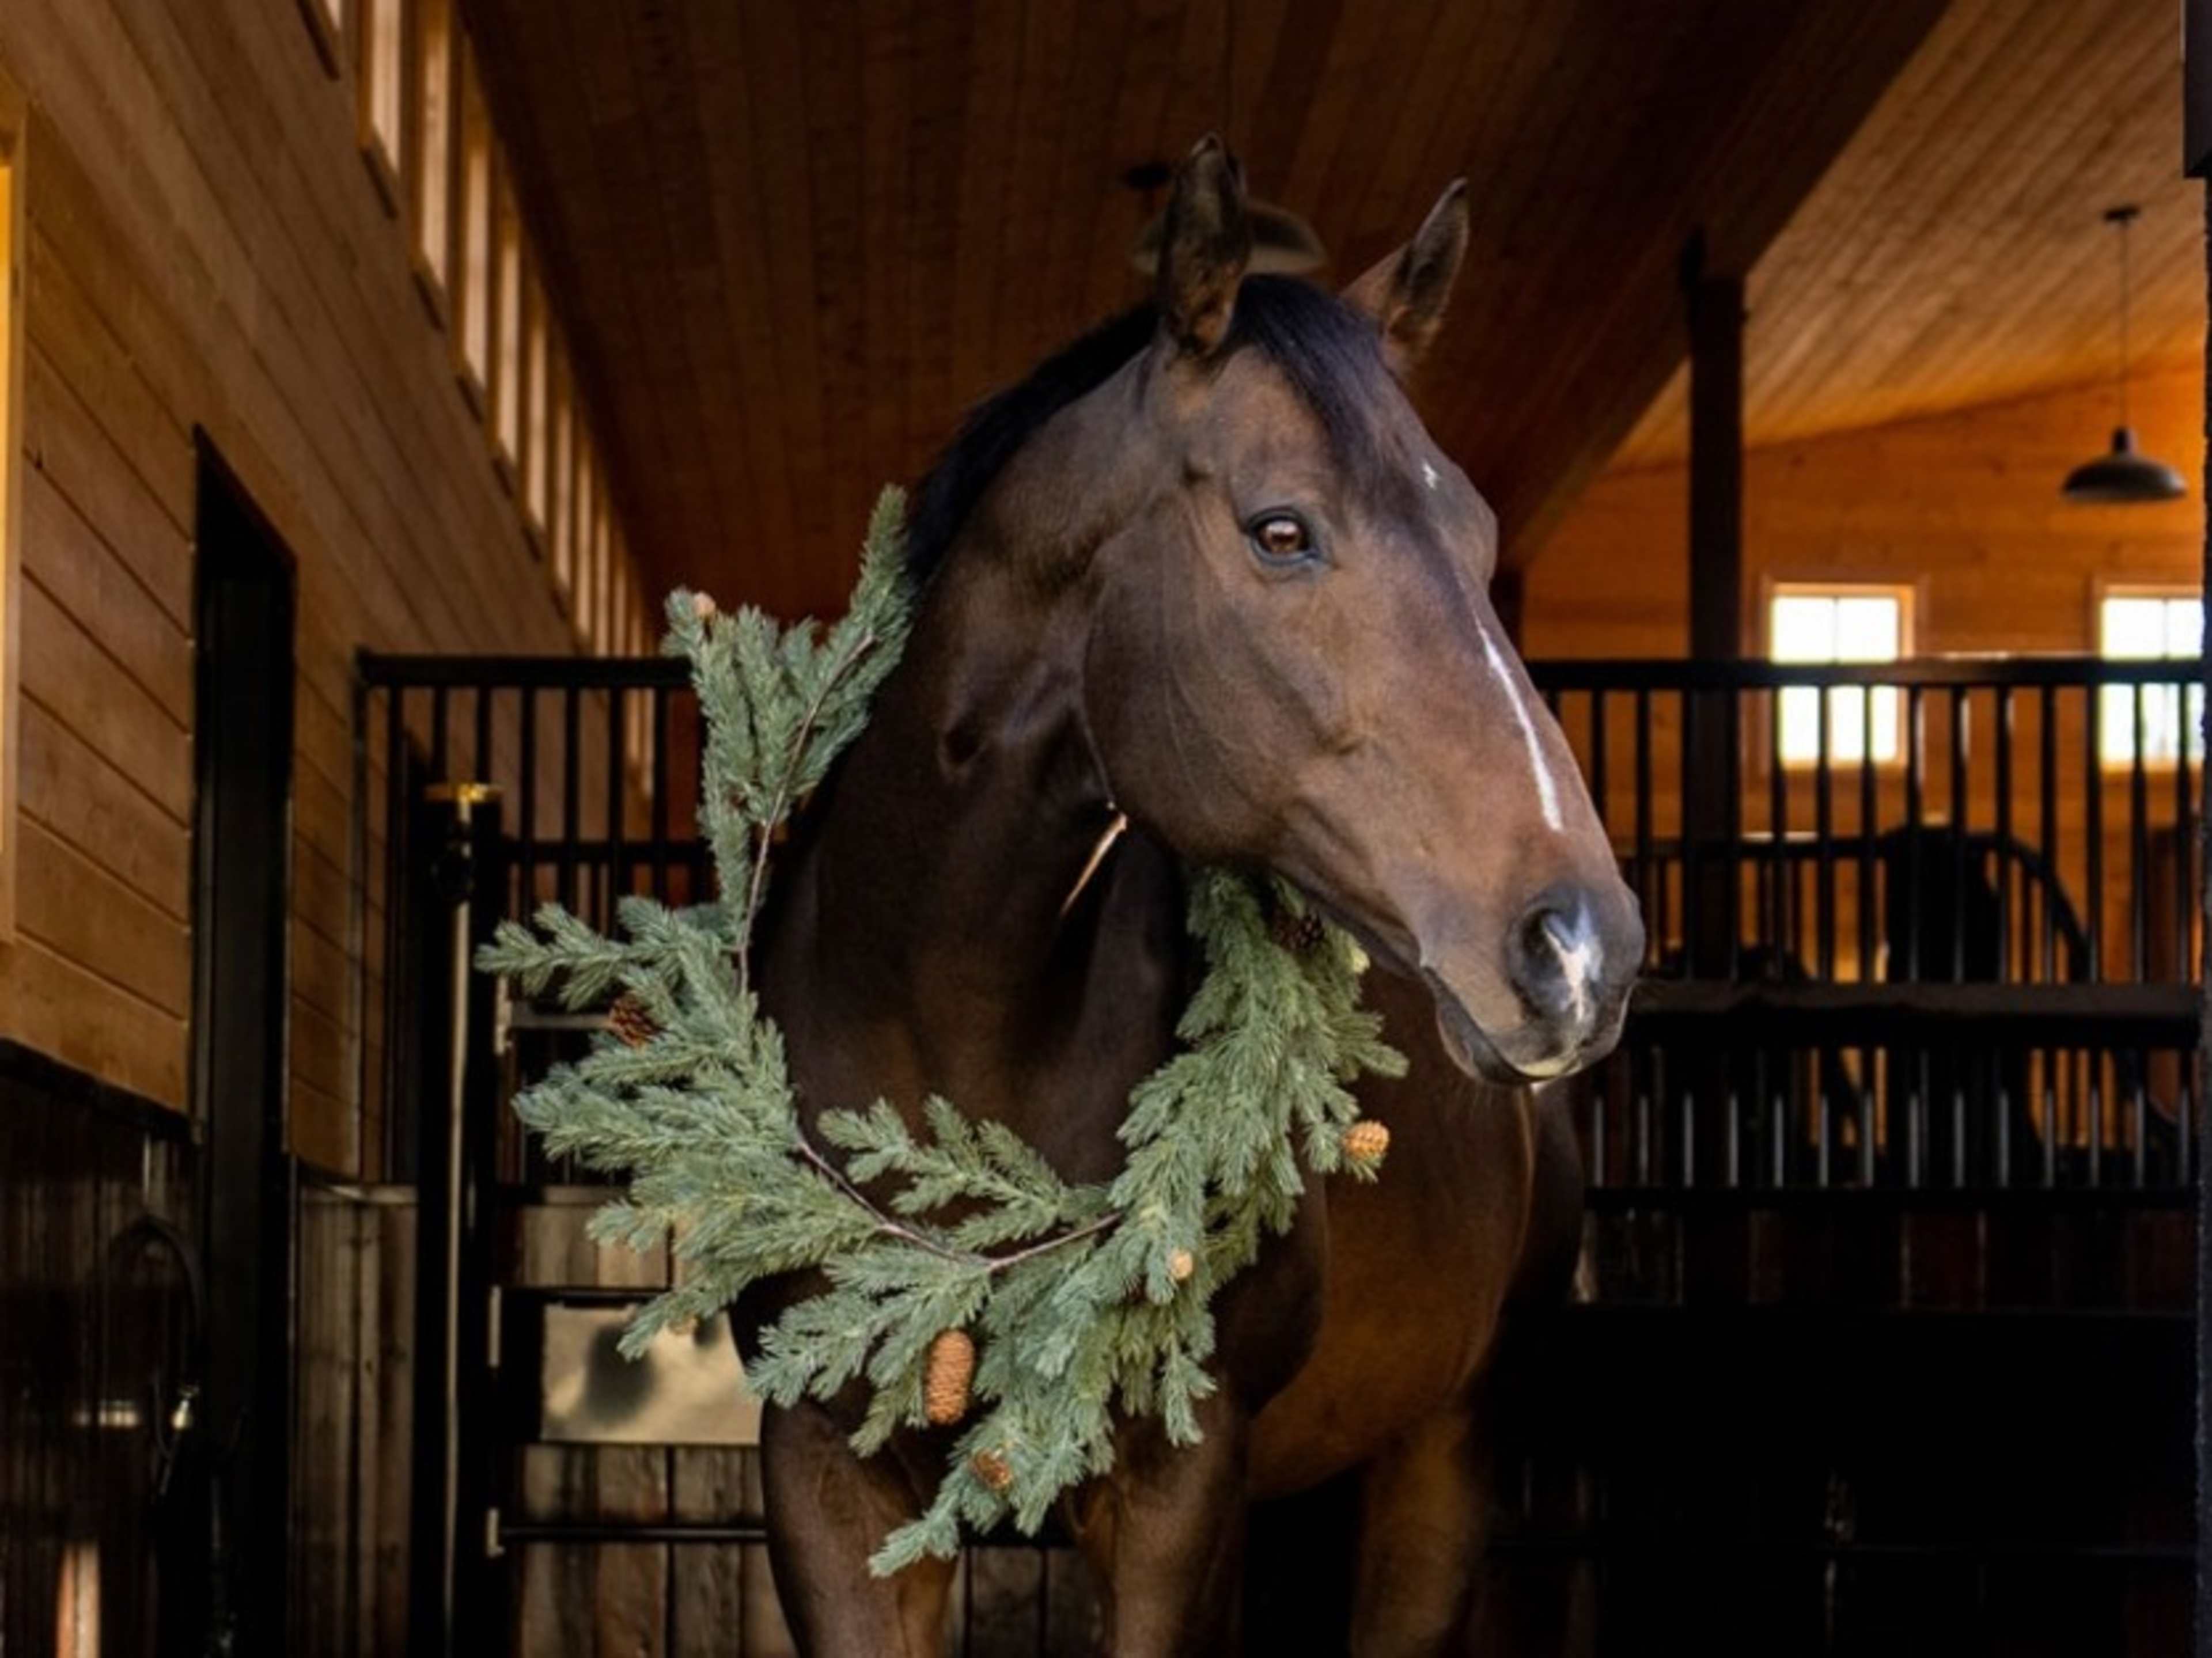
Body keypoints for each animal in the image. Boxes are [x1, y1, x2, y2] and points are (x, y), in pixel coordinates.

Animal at [742, 136, 1644, 1655]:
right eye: (1281, 530)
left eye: (1476, 535)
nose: (1582, 950)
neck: (948, 1032)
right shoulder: (823, 1471)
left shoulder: (1181, 1489)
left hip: (1442, 1453)